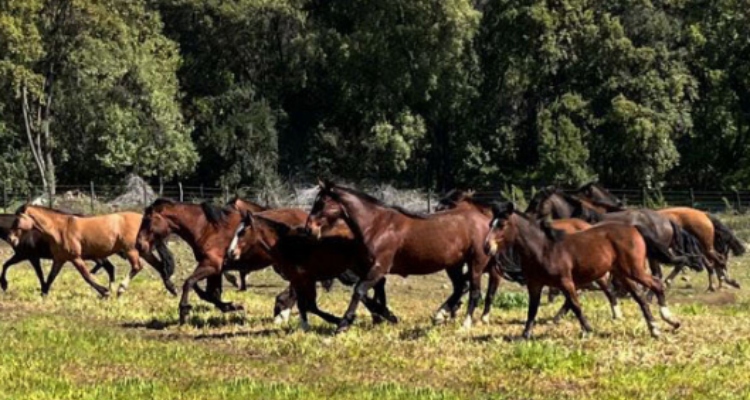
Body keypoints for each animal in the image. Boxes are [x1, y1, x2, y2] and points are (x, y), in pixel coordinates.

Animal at [9, 206, 176, 296]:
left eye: (17, 220)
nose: (11, 239)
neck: (60, 229)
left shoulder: (75, 258)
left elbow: (87, 276)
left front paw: (104, 291)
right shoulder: (59, 259)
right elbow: (51, 277)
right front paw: (43, 293)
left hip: (131, 250)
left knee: (137, 266)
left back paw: (120, 289)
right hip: (144, 251)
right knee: (159, 266)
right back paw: (172, 289)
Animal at [306, 180, 494, 332]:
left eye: (321, 202)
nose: (309, 228)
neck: (377, 226)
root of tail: (485, 219)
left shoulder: (379, 267)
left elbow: (359, 290)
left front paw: (343, 325)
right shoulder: (370, 269)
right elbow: (375, 294)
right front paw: (385, 316)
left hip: (476, 263)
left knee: (474, 292)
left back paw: (465, 324)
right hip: (454, 265)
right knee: (461, 287)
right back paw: (440, 314)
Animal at [484, 203, 684, 338]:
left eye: (502, 225)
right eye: (490, 224)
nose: (487, 247)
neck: (543, 249)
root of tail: (634, 227)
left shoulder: (566, 282)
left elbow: (575, 305)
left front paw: (588, 329)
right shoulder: (535, 285)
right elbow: (532, 310)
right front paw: (525, 335)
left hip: (633, 270)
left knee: (657, 284)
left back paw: (670, 320)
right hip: (623, 274)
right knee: (640, 297)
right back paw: (655, 328)